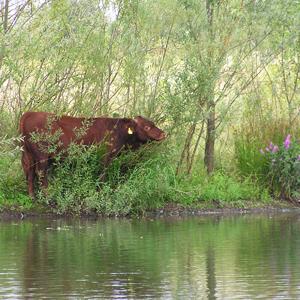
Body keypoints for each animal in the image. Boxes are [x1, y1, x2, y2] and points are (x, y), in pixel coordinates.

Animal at [19, 111, 165, 198]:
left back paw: (32, 196)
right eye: (147, 127)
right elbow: (103, 174)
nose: (164, 133)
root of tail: (30, 113)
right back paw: (48, 195)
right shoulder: (106, 155)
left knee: (30, 172)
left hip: (28, 154)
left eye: (153, 123)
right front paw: (100, 191)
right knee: (40, 172)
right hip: (42, 153)